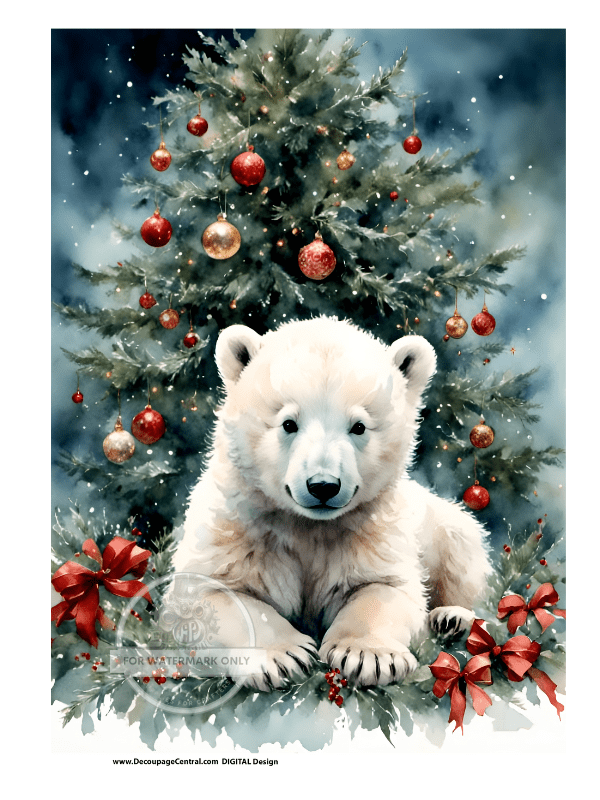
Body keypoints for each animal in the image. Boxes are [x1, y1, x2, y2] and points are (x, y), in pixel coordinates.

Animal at [172, 316, 491, 690]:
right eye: (288, 423)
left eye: (359, 426)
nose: (323, 485)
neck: (308, 524)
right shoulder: (236, 526)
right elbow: (209, 593)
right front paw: (283, 656)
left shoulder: (373, 531)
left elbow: (385, 588)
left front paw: (369, 656)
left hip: (442, 525)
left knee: (462, 558)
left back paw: (452, 617)